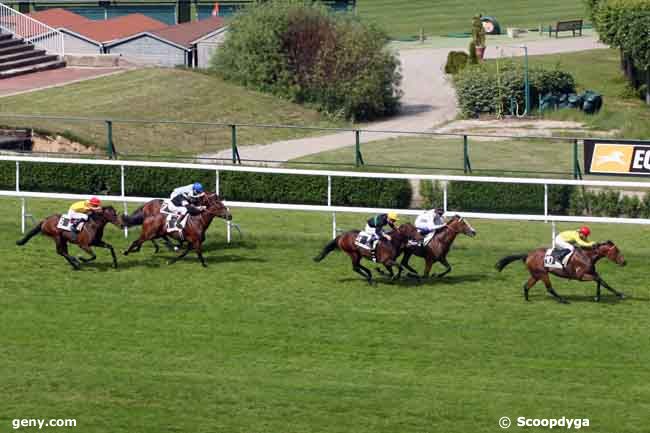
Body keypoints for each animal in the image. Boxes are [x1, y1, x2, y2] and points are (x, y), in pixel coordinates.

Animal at [494, 240, 624, 304]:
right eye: (617, 251)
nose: (625, 262)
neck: (587, 256)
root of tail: (528, 255)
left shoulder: (591, 273)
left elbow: (603, 281)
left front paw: (620, 294)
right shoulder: (580, 276)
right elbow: (598, 280)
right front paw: (597, 297)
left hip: (536, 275)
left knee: (526, 286)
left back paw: (527, 300)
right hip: (543, 274)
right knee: (549, 288)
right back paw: (563, 300)